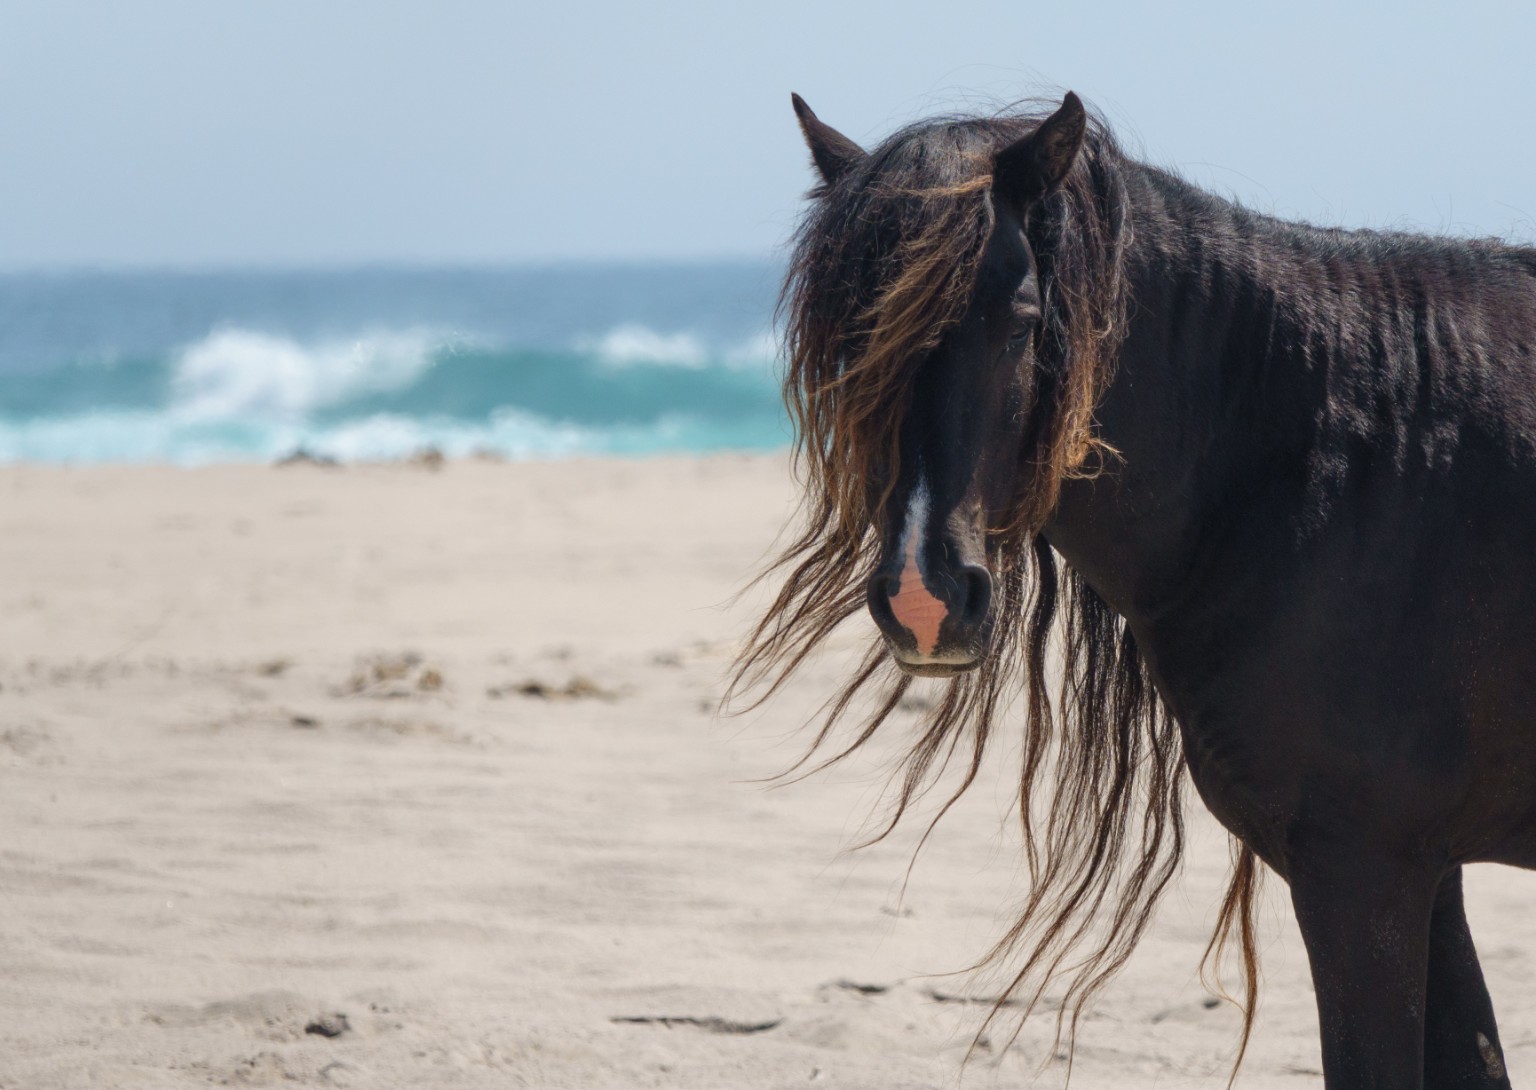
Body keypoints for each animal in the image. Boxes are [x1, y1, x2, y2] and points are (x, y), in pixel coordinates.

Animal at [731, 89, 1536, 1088]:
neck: (1337, 461)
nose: (924, 599)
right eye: (853, 344)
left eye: (1021, 319)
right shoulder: (1426, 872)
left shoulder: (1365, 872)